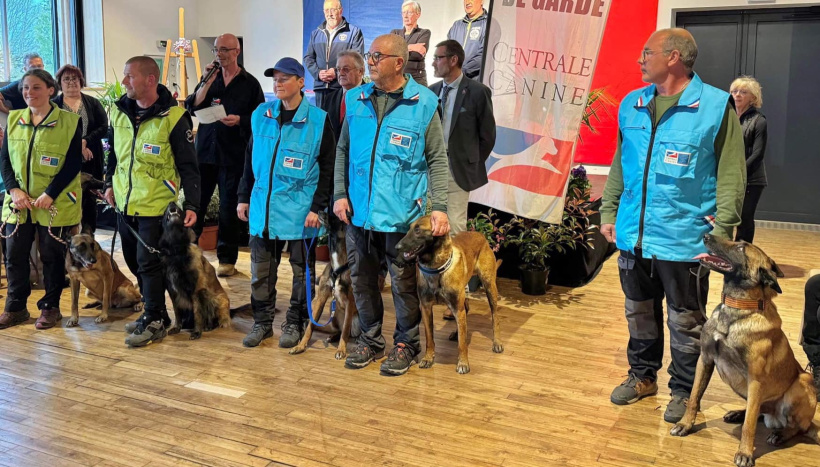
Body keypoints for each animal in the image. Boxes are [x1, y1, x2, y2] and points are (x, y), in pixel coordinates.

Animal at [159, 203, 231, 338]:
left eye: (181, 209)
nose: (172, 203)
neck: (177, 250)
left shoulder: (196, 290)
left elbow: (198, 313)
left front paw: (197, 331)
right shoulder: (172, 291)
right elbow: (177, 312)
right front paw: (176, 327)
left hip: (210, 296)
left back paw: (208, 326)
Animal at [394, 217, 502, 376]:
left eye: (418, 230)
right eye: (409, 229)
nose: (397, 247)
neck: (435, 268)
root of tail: (480, 235)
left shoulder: (457, 307)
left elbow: (462, 343)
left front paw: (463, 363)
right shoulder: (426, 309)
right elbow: (429, 338)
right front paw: (428, 358)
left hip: (489, 287)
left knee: (494, 317)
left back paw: (497, 342)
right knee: (465, 312)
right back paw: (457, 332)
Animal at [668, 236, 816, 466]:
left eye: (740, 248)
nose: (706, 235)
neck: (737, 308)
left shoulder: (755, 380)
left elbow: (749, 425)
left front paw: (745, 453)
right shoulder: (705, 360)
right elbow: (693, 398)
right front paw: (685, 424)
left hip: (803, 381)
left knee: (796, 426)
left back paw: (780, 434)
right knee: (757, 412)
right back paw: (738, 413)